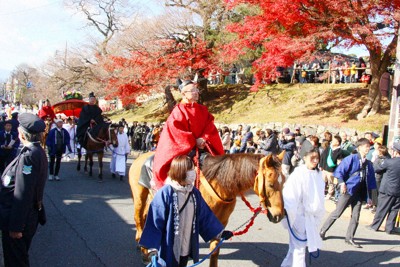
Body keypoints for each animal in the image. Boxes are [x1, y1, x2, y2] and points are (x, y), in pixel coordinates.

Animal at [128, 152, 284, 266]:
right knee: (139, 219)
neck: (221, 186)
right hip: (139, 196)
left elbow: (214, 252)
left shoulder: (219, 223)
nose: (279, 216)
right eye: (270, 184)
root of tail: (140, 157)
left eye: (283, 183)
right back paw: (144, 251)